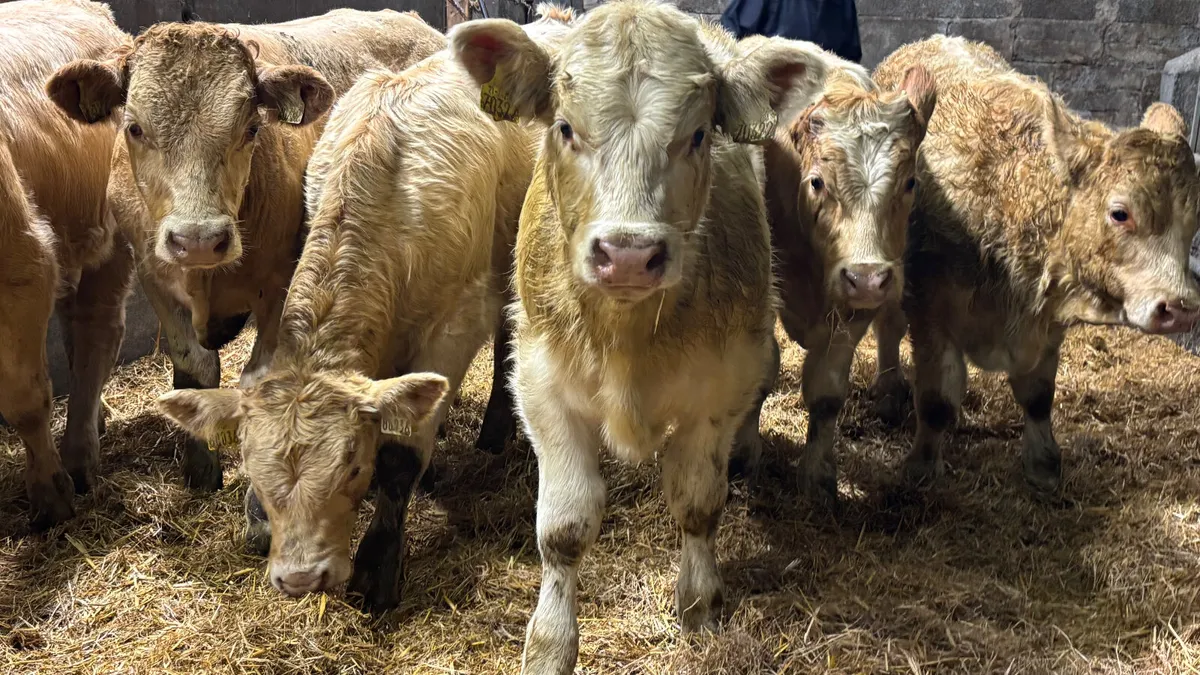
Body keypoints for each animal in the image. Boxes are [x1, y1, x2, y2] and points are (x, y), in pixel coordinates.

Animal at [46, 10, 451, 495]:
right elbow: (195, 365)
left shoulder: (282, 284)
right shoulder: (154, 277)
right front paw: (201, 466)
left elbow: (261, 376)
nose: (199, 239)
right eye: (135, 128)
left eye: (252, 128)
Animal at [153, 6, 577, 613]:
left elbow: (402, 454)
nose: (302, 577)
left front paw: (379, 565)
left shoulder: (455, 323)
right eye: (253, 471)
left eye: (353, 465)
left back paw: (498, 430)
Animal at [449, 2, 836, 671]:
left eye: (699, 134)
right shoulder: (542, 382)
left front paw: (700, 607)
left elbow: (699, 503)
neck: (626, 337)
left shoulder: (718, 386)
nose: (628, 255)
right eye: (565, 128)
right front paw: (550, 641)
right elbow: (564, 527)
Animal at [736, 65, 936, 508]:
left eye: (910, 183)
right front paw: (740, 456)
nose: (866, 278)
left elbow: (827, 393)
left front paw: (817, 477)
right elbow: (760, 370)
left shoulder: (857, 308)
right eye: (816, 182)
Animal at [872, 35, 1200, 494]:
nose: (1181, 308)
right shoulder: (931, 309)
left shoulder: (1047, 324)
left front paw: (1043, 465)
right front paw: (921, 468)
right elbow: (935, 400)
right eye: (1120, 213)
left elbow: (1038, 396)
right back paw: (888, 391)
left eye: (1195, 219)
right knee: (887, 325)